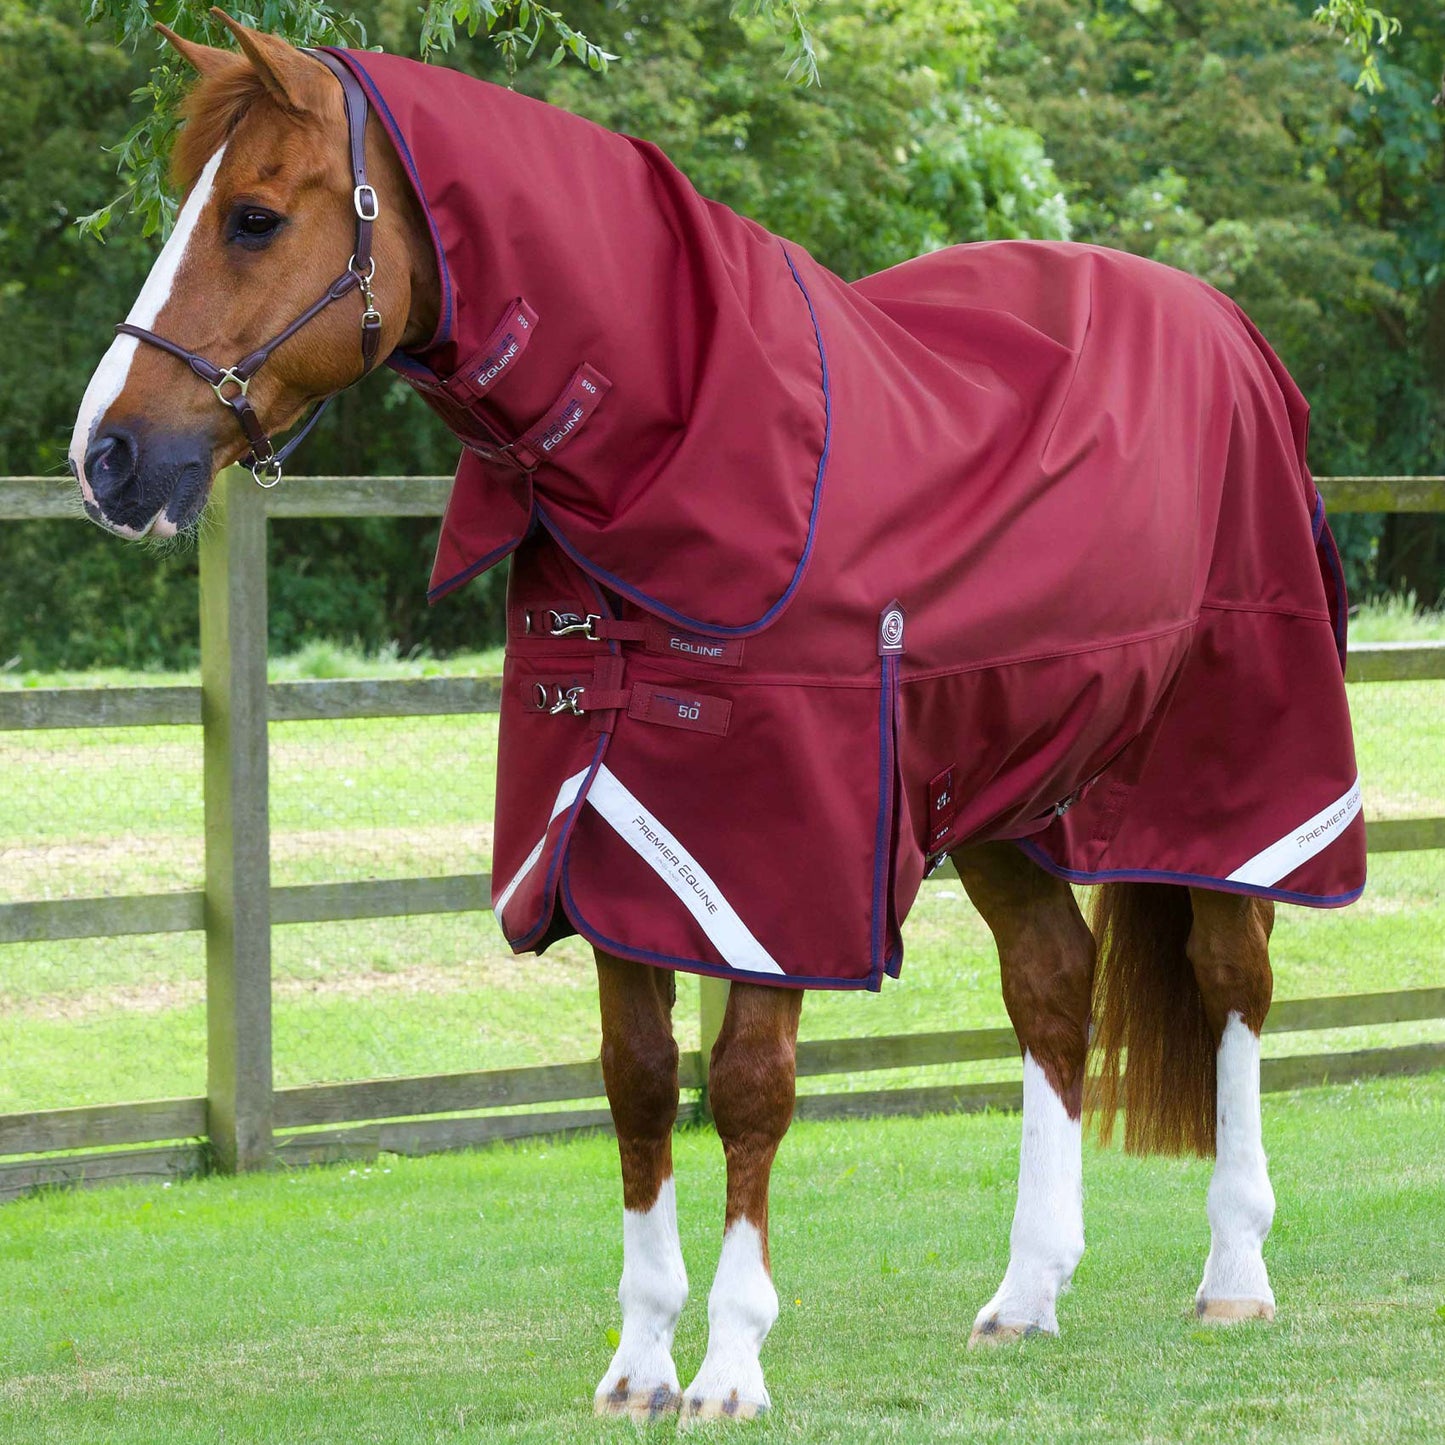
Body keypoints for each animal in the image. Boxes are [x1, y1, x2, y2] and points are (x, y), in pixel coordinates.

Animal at [70, 11, 1364, 1423]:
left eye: (252, 218)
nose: (106, 456)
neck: (676, 450)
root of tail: (1227, 331)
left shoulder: (778, 856)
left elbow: (745, 1087)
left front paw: (732, 1364)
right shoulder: (600, 835)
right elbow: (638, 1083)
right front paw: (638, 1363)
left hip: (1228, 771)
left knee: (1232, 979)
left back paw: (1234, 1271)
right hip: (1001, 788)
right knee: (1050, 984)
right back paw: (1025, 1292)